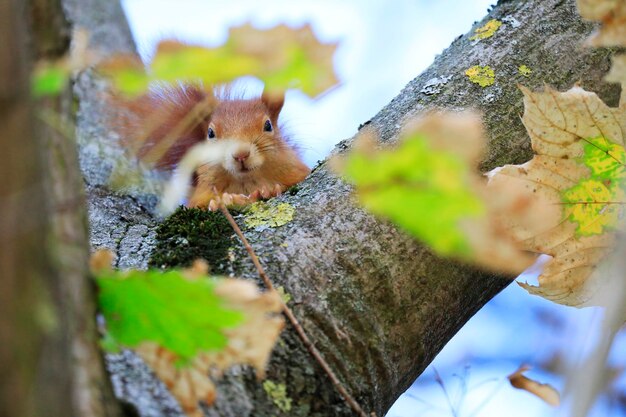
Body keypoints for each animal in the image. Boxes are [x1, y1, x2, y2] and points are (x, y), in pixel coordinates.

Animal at [115, 83, 310, 210]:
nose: (240, 154)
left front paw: (270, 189)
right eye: (210, 133)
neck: (246, 180)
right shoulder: (203, 191)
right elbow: (199, 205)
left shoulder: (295, 171)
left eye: (268, 125)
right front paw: (223, 201)